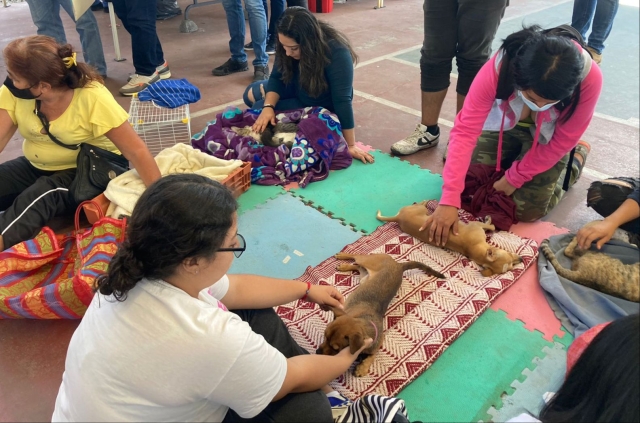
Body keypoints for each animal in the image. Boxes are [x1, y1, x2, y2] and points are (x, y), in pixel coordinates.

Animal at [316, 252, 444, 378]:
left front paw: (363, 367)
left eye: (335, 348)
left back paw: (344, 266)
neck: (364, 322)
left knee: (358, 266)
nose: (317, 352)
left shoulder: (379, 340)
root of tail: (399, 265)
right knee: (356, 256)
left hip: (364, 274)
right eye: (324, 337)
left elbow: (373, 354)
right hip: (367, 261)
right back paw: (342, 257)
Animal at [378, 203, 524, 278]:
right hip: (420, 209)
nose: (522, 259)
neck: (478, 250)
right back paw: (426, 201)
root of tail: (398, 218)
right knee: (422, 203)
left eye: (512, 267)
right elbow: (491, 226)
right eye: (509, 254)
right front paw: (489, 219)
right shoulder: (476, 225)